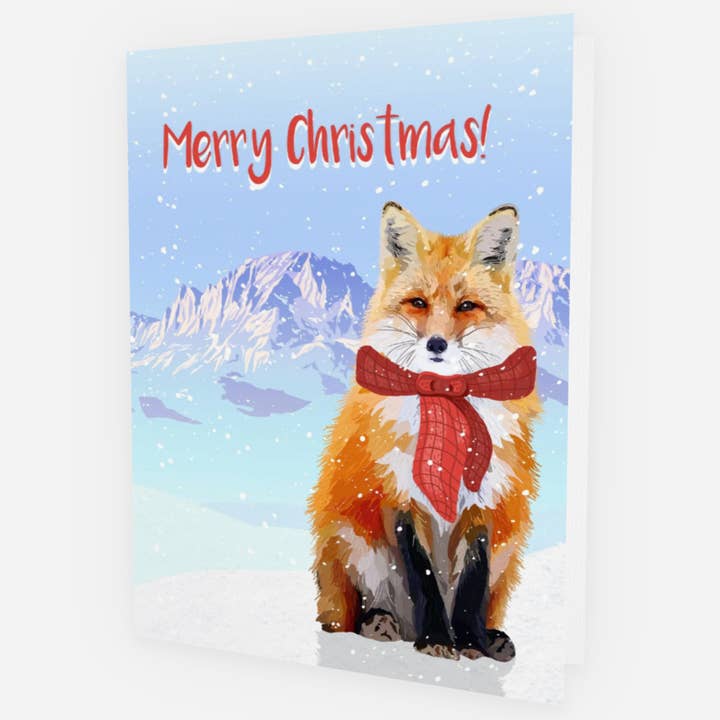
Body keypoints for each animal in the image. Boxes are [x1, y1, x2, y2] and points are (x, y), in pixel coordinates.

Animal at [308, 201, 541, 661]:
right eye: (418, 302)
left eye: (466, 306)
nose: (436, 344)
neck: (444, 403)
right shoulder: (399, 495)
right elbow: (423, 577)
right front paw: (436, 640)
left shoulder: (484, 503)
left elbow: (471, 583)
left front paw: (468, 642)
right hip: (350, 544)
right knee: (348, 619)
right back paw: (382, 623)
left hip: (509, 554)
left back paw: (492, 638)